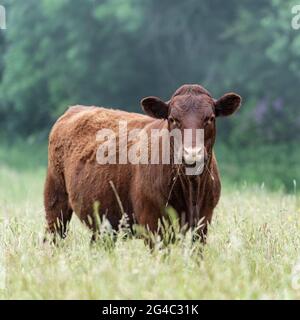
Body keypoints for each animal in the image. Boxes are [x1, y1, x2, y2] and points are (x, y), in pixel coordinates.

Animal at [44, 85, 241, 242]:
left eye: (210, 118)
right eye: (173, 119)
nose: (191, 154)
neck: (191, 189)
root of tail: (73, 109)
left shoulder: (203, 221)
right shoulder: (153, 223)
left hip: (103, 222)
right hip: (55, 201)